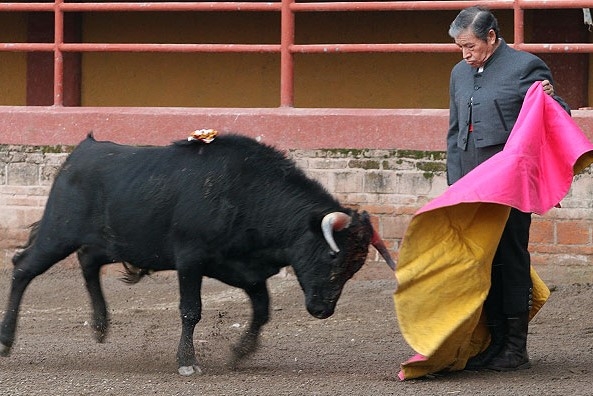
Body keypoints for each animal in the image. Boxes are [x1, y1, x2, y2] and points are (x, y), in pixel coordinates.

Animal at [3, 133, 398, 374]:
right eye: (332, 257)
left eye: (356, 267)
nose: (322, 310)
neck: (247, 192)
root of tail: (80, 152)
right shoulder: (190, 260)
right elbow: (191, 310)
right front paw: (187, 361)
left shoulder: (244, 270)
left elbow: (262, 310)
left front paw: (240, 352)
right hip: (57, 233)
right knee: (23, 268)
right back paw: (6, 341)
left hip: (115, 241)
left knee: (88, 260)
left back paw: (100, 327)